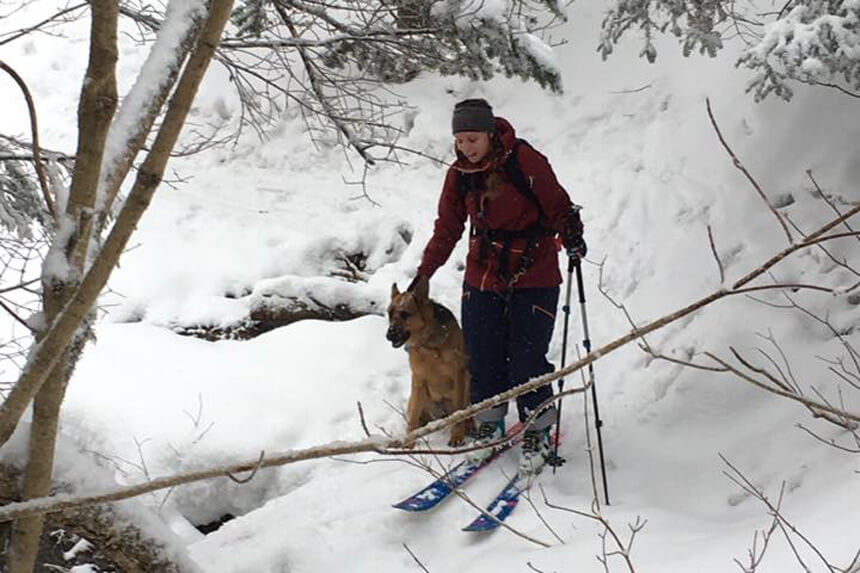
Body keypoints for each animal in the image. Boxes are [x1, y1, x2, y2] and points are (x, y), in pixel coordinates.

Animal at [388, 274, 470, 444]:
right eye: (389, 314)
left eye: (405, 314)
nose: (388, 335)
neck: (428, 344)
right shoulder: (418, 378)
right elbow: (413, 417)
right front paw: (409, 443)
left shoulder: (459, 373)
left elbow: (459, 411)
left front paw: (457, 435)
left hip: (467, 381)